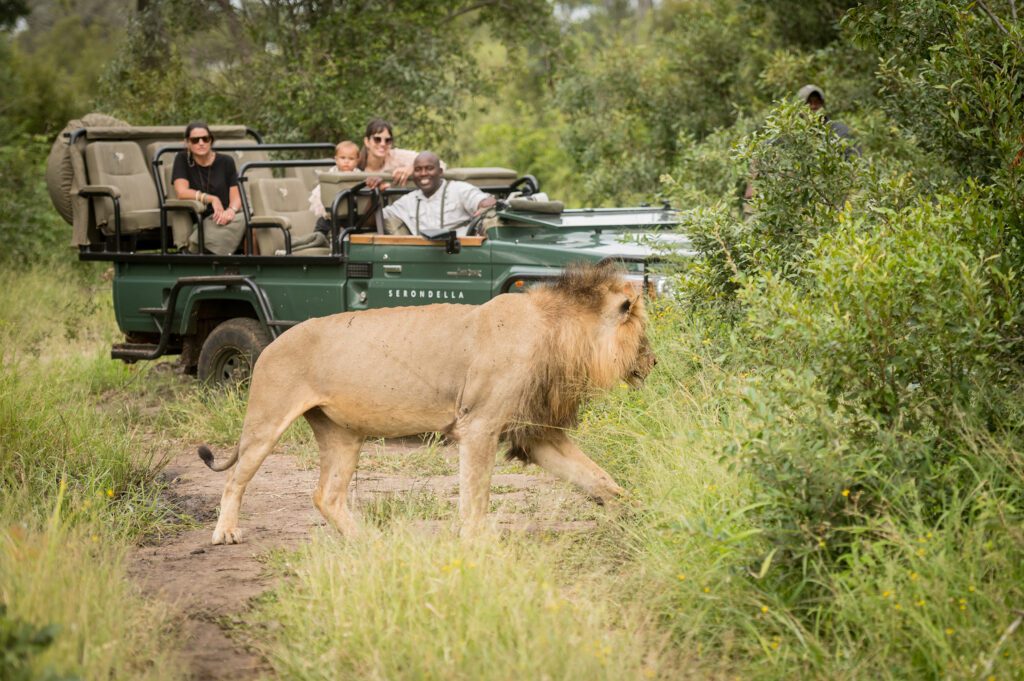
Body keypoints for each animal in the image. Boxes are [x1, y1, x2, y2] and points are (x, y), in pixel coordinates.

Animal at [199, 261, 655, 543]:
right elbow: (476, 494)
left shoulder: (535, 432)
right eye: (644, 333)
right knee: (234, 479)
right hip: (265, 421)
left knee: (326, 495)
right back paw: (226, 532)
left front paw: (640, 510)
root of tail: (273, 342)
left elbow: (596, 477)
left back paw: (368, 542)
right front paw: (476, 543)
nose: (654, 361)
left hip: (342, 434)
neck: (559, 332)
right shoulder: (480, 425)